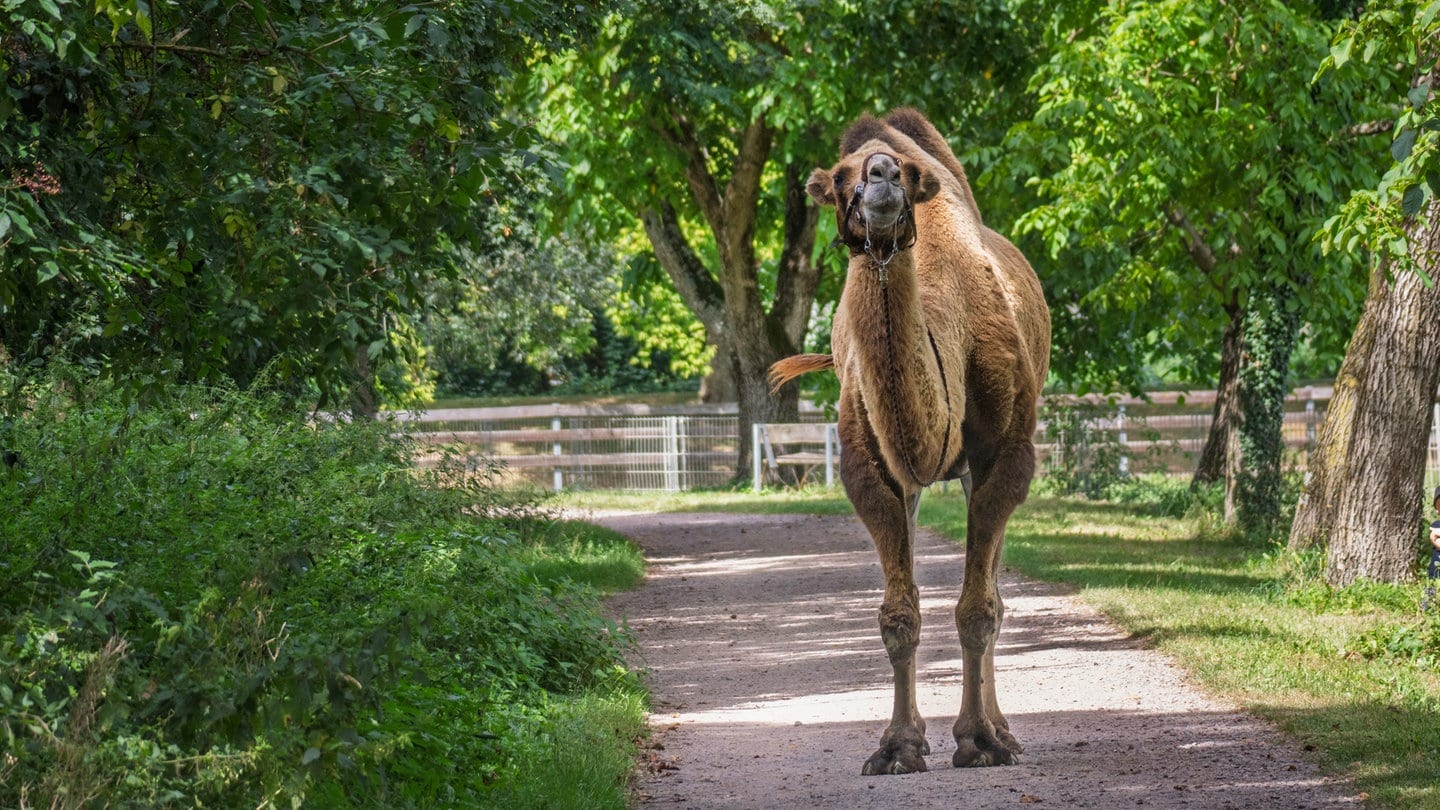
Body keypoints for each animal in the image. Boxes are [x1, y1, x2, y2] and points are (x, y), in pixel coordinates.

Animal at [771, 107, 1054, 766]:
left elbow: (979, 609)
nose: (881, 177)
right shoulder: (869, 465)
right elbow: (898, 615)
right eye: (840, 176)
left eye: (904, 169)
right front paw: (899, 745)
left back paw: (1003, 730)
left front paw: (979, 740)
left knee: (995, 594)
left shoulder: (1008, 455)